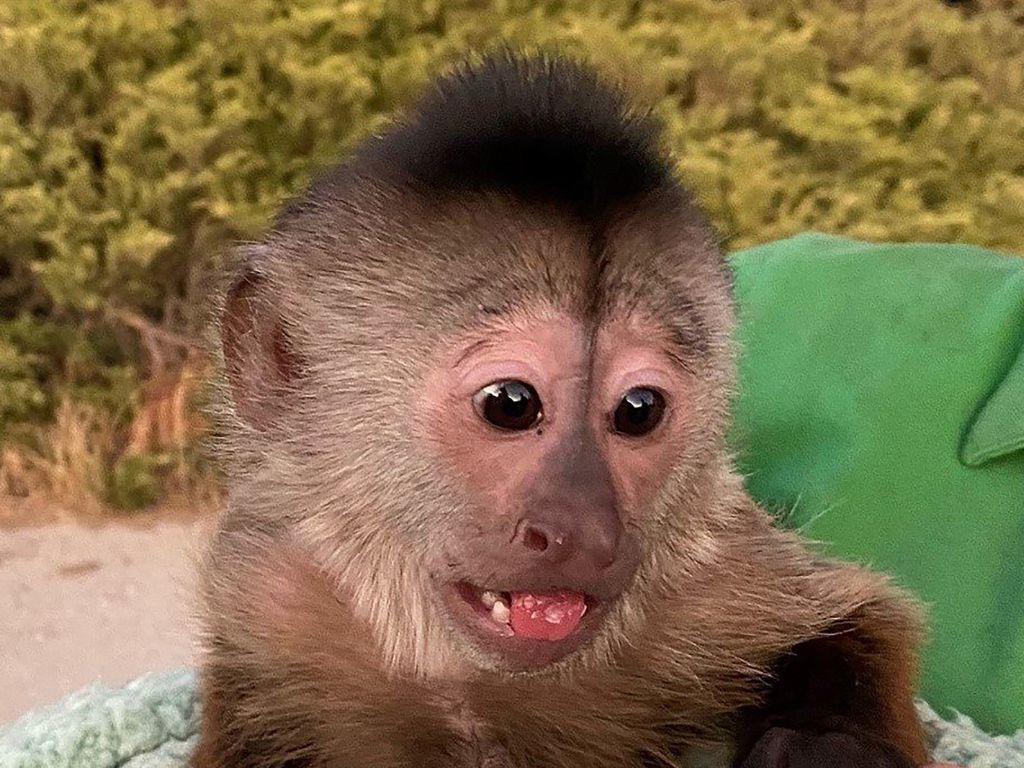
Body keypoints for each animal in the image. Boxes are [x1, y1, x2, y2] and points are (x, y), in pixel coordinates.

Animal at [194, 54, 932, 768]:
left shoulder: (716, 576)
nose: (586, 530)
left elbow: (863, 615)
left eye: (638, 411)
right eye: (510, 405)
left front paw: (826, 743)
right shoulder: (272, 603)